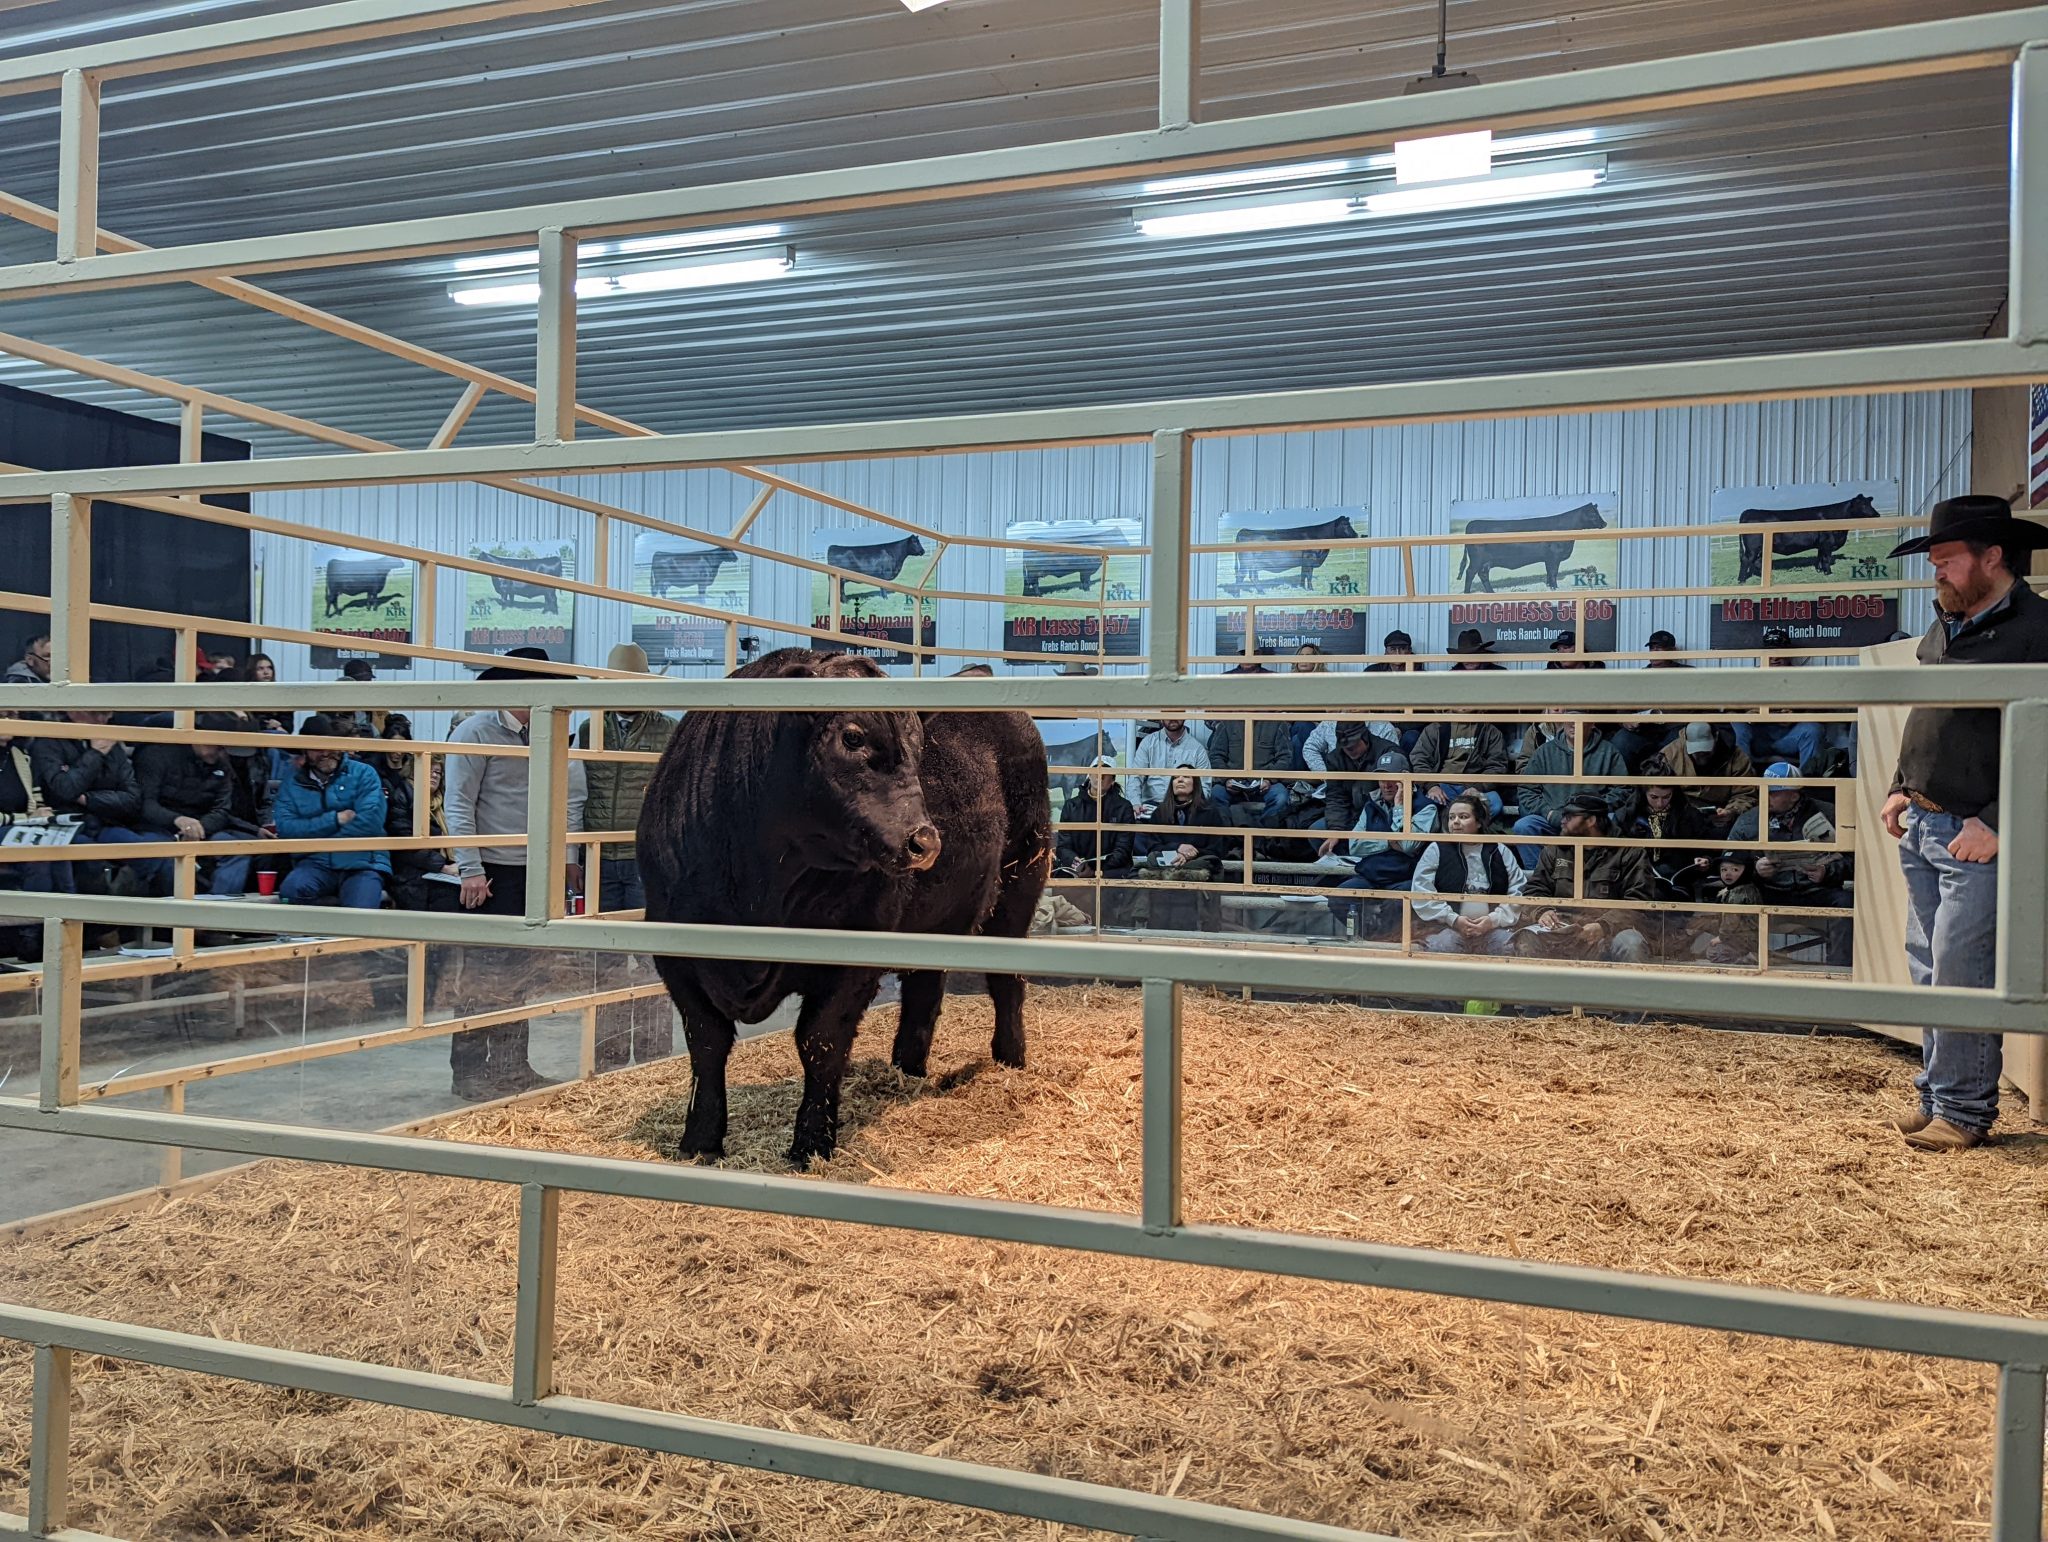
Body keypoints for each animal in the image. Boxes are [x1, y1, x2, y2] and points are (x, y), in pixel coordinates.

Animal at [639, 648, 1053, 1166]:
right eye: (851, 736)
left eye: (919, 748)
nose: (925, 841)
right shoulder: (675, 954)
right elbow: (707, 1041)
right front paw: (699, 1141)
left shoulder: (854, 952)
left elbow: (820, 1040)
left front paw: (812, 1143)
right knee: (924, 990)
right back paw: (907, 1069)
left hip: (1021, 881)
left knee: (1006, 981)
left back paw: (1010, 1059)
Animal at [1226, 516, 1358, 593]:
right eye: (1345, 524)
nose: (1356, 535)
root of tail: (1244, 530)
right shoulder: (1310, 558)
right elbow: (1309, 575)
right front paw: (1311, 589)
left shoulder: (1304, 561)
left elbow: (1303, 574)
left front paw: (1301, 587)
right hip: (1246, 562)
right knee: (1240, 576)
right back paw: (1237, 595)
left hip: (1254, 564)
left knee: (1253, 576)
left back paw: (1260, 591)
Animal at [1456, 503, 1608, 593]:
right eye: (1593, 514)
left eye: (1597, 512)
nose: (1605, 523)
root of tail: (1473, 523)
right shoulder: (1554, 556)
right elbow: (1553, 572)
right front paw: (1555, 588)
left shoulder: (1548, 558)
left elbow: (1548, 572)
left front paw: (1549, 586)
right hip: (1477, 559)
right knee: (1470, 572)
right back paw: (1467, 593)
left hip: (1486, 562)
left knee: (1483, 574)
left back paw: (1491, 592)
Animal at [1735, 493, 1880, 583]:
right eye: (1863, 505)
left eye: (1870, 504)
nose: (1877, 514)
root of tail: (1749, 511)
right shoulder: (1828, 543)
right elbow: (1826, 558)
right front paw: (1828, 573)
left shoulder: (1821, 545)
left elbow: (1820, 557)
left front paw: (1820, 570)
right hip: (1753, 548)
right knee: (1747, 560)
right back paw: (1741, 580)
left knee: (1757, 561)